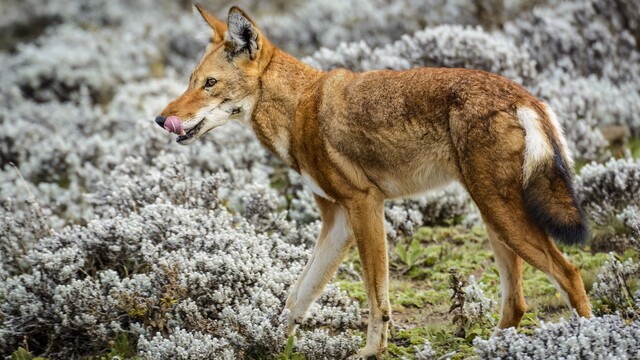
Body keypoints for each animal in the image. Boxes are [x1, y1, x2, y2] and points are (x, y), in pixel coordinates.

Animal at [154, 4, 592, 358]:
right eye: (191, 80)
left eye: (209, 84)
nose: (161, 119)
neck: (298, 108)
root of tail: (524, 96)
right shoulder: (337, 222)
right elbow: (296, 298)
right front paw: (269, 343)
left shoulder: (364, 205)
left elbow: (376, 298)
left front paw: (370, 352)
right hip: (493, 220)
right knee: (517, 302)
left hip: (502, 217)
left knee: (569, 273)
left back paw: (589, 336)